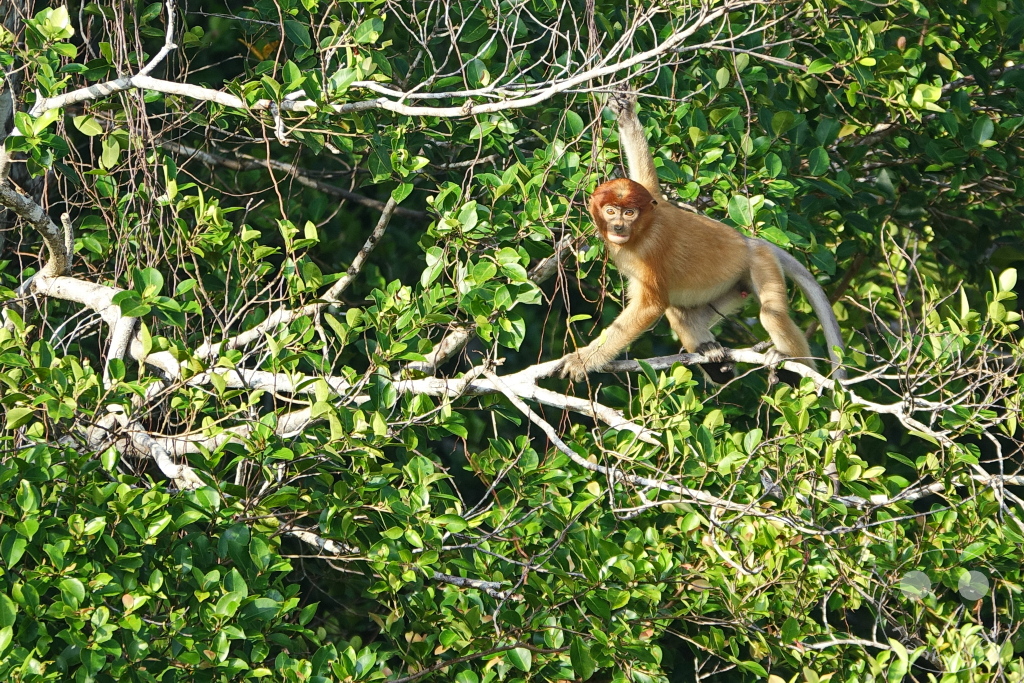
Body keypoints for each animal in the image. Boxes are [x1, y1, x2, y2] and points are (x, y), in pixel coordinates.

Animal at [559, 93, 845, 384]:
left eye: (629, 213)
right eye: (610, 210)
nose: (617, 227)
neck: (643, 229)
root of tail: (751, 241)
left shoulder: (650, 249)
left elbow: (650, 306)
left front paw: (581, 361)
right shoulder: (653, 201)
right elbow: (648, 181)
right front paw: (625, 113)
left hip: (762, 263)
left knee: (771, 313)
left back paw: (791, 365)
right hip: (734, 287)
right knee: (681, 315)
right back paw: (716, 361)